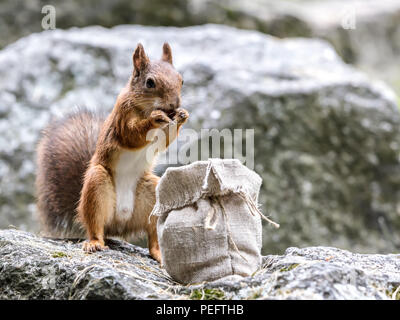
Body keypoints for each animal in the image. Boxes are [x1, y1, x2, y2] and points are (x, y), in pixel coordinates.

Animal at [35, 43, 188, 262]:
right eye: (150, 83)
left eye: (181, 80)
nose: (174, 105)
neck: (144, 107)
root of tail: (119, 222)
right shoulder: (122, 120)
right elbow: (133, 134)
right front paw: (154, 119)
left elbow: (164, 141)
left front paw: (182, 116)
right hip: (97, 186)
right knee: (95, 226)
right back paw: (94, 243)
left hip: (152, 193)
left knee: (152, 235)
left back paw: (159, 254)